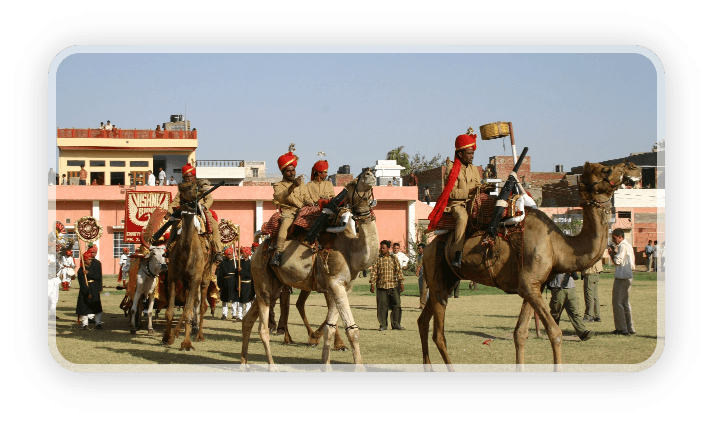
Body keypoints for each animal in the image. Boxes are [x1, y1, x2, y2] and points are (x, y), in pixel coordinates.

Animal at [161, 181, 214, 350]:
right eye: (186, 187)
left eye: (195, 185)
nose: (205, 184)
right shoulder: (173, 276)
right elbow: (170, 311)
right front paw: (167, 337)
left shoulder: (196, 277)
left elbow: (190, 312)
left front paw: (186, 343)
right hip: (185, 281)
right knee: (186, 305)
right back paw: (176, 333)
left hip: (205, 275)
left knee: (201, 306)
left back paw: (199, 336)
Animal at [242, 169, 382, 364]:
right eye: (353, 183)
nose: (369, 173)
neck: (351, 249)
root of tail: (256, 249)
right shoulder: (335, 283)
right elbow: (352, 330)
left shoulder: (344, 287)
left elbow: (330, 327)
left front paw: (326, 357)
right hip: (262, 278)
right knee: (262, 326)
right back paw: (273, 362)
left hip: (274, 284)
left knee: (248, 320)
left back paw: (243, 362)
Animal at [418, 161, 640, 370]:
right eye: (605, 170)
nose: (633, 167)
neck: (557, 246)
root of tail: (427, 248)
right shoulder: (528, 284)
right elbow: (555, 332)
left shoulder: (534, 286)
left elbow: (520, 333)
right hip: (437, 272)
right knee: (439, 334)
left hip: (446, 279)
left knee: (423, 321)